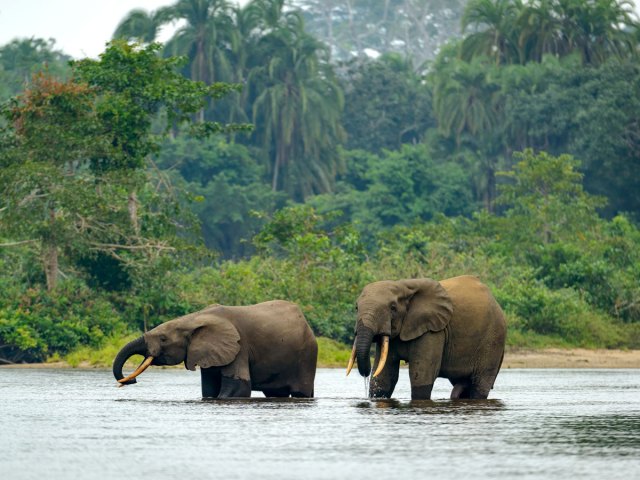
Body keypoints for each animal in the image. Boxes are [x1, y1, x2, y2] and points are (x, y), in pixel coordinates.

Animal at [114, 300, 318, 398]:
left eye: (163, 339)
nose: (131, 381)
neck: (192, 319)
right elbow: (209, 389)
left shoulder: (239, 346)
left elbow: (238, 389)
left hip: (307, 355)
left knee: (301, 392)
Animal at [348, 276, 508, 400]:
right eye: (356, 308)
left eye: (393, 308)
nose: (365, 374)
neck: (403, 286)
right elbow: (384, 377)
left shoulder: (433, 330)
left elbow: (422, 373)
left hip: (493, 339)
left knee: (480, 384)